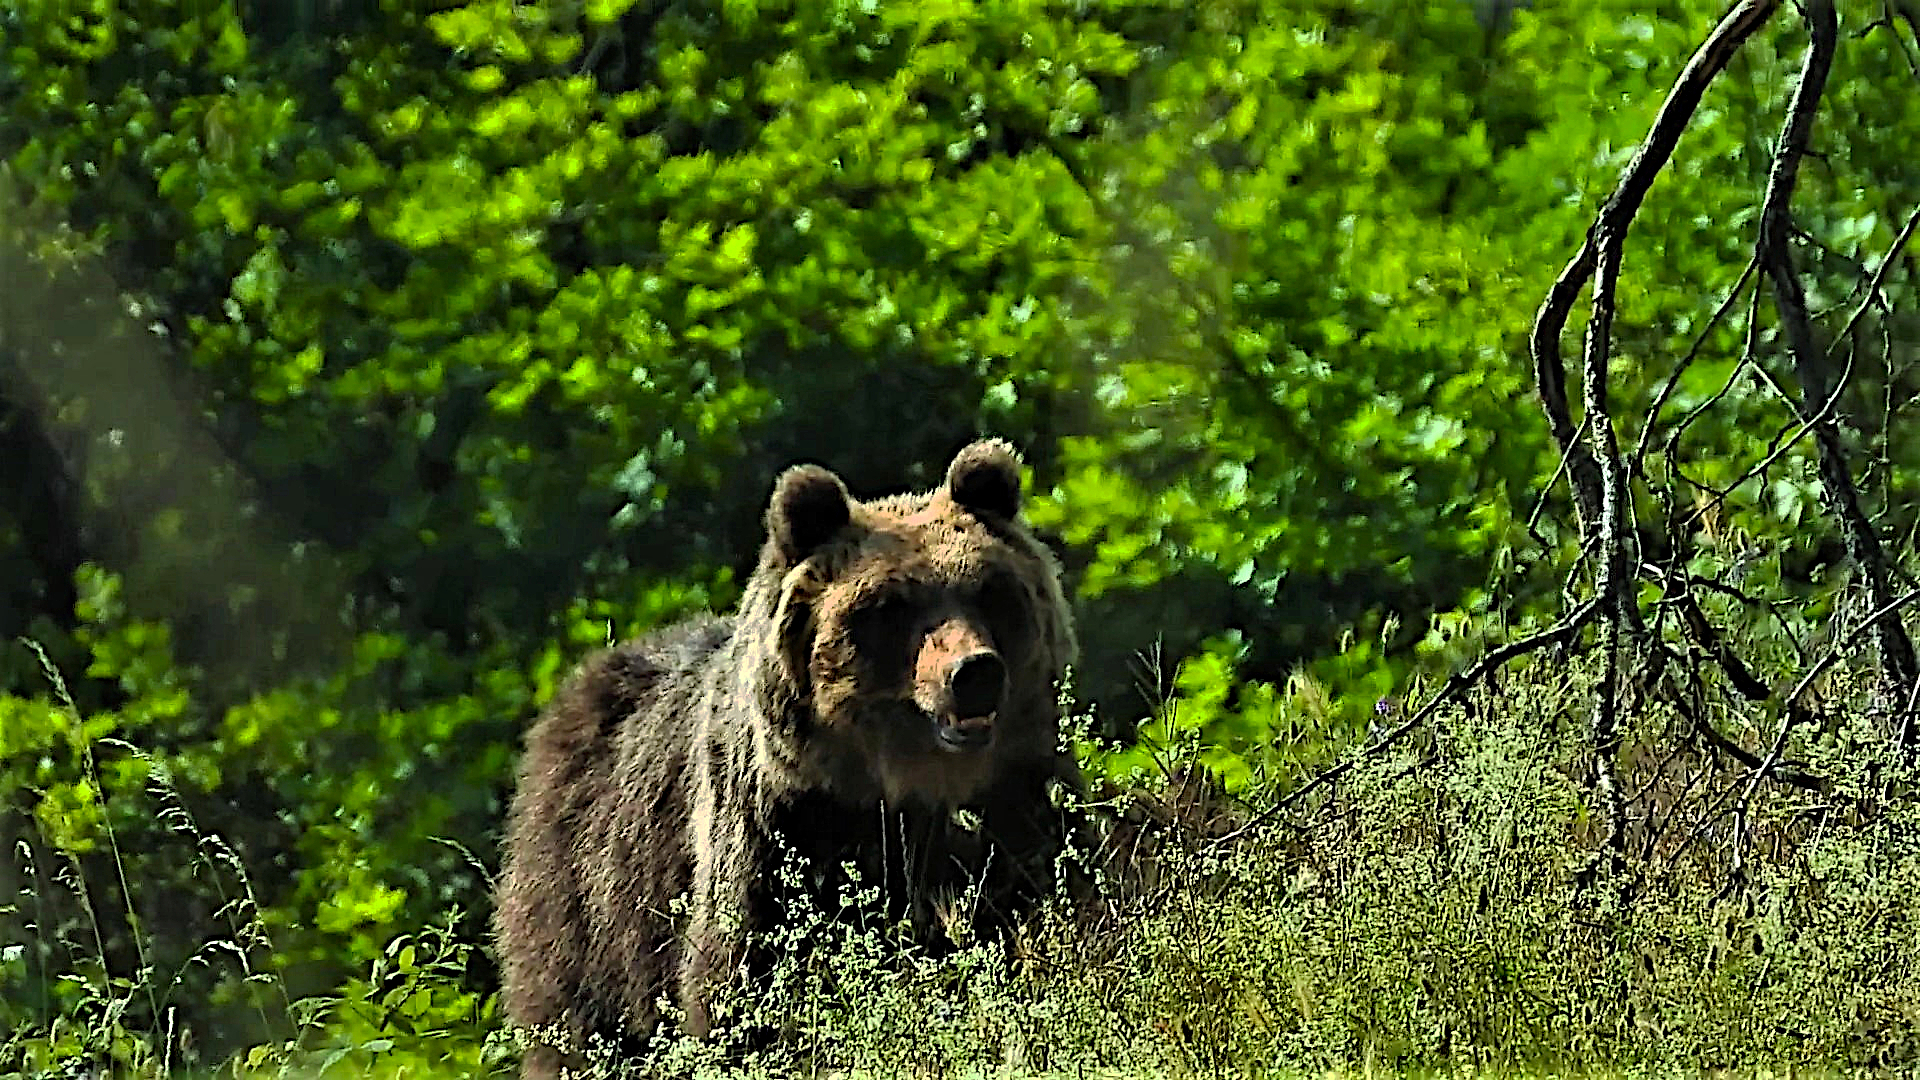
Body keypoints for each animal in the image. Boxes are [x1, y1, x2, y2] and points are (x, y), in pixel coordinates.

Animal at [493, 439, 1083, 1077]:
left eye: (988, 590)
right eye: (894, 605)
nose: (974, 673)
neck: (897, 790)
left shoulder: (1015, 808)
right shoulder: (779, 833)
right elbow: (746, 985)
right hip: (589, 901)